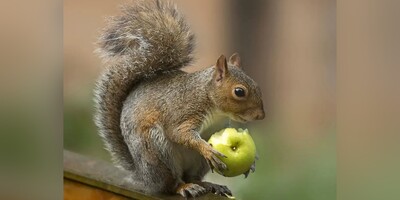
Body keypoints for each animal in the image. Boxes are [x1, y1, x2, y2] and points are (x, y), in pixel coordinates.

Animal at [92, 0, 264, 197]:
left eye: (257, 85)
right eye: (239, 92)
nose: (261, 115)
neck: (207, 96)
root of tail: (144, 178)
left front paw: (253, 161)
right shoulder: (184, 110)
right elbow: (179, 133)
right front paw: (206, 148)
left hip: (197, 163)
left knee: (192, 177)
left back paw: (210, 185)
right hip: (156, 150)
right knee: (171, 184)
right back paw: (183, 187)